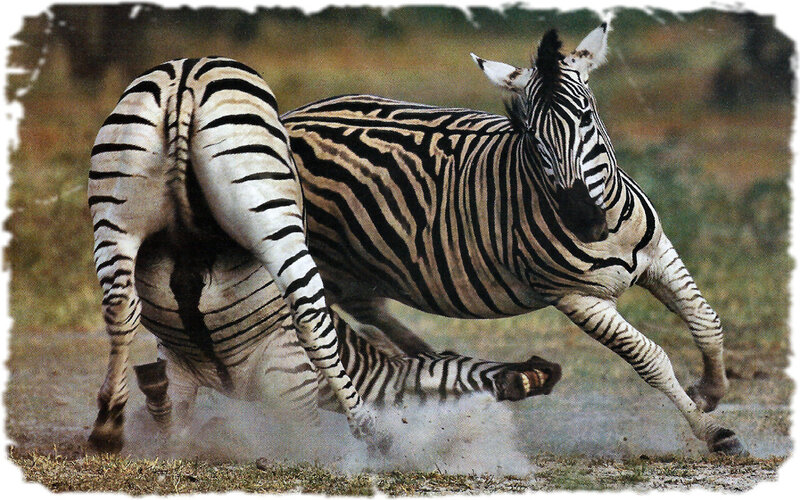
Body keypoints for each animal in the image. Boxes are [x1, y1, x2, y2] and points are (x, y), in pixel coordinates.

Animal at [88, 56, 560, 453]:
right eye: (455, 362)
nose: (548, 369)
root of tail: (187, 78)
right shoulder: (289, 388)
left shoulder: (187, 375)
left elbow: (174, 422)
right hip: (270, 210)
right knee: (309, 313)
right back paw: (370, 430)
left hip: (116, 209)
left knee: (120, 304)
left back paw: (107, 425)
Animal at [280, 24, 744, 455]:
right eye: (531, 133)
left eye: (586, 118)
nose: (584, 222)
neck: (610, 232)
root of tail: (292, 117)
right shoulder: (577, 297)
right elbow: (651, 358)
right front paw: (712, 431)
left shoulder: (658, 254)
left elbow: (708, 323)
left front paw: (709, 392)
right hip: (320, 260)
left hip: (355, 265)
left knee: (369, 313)